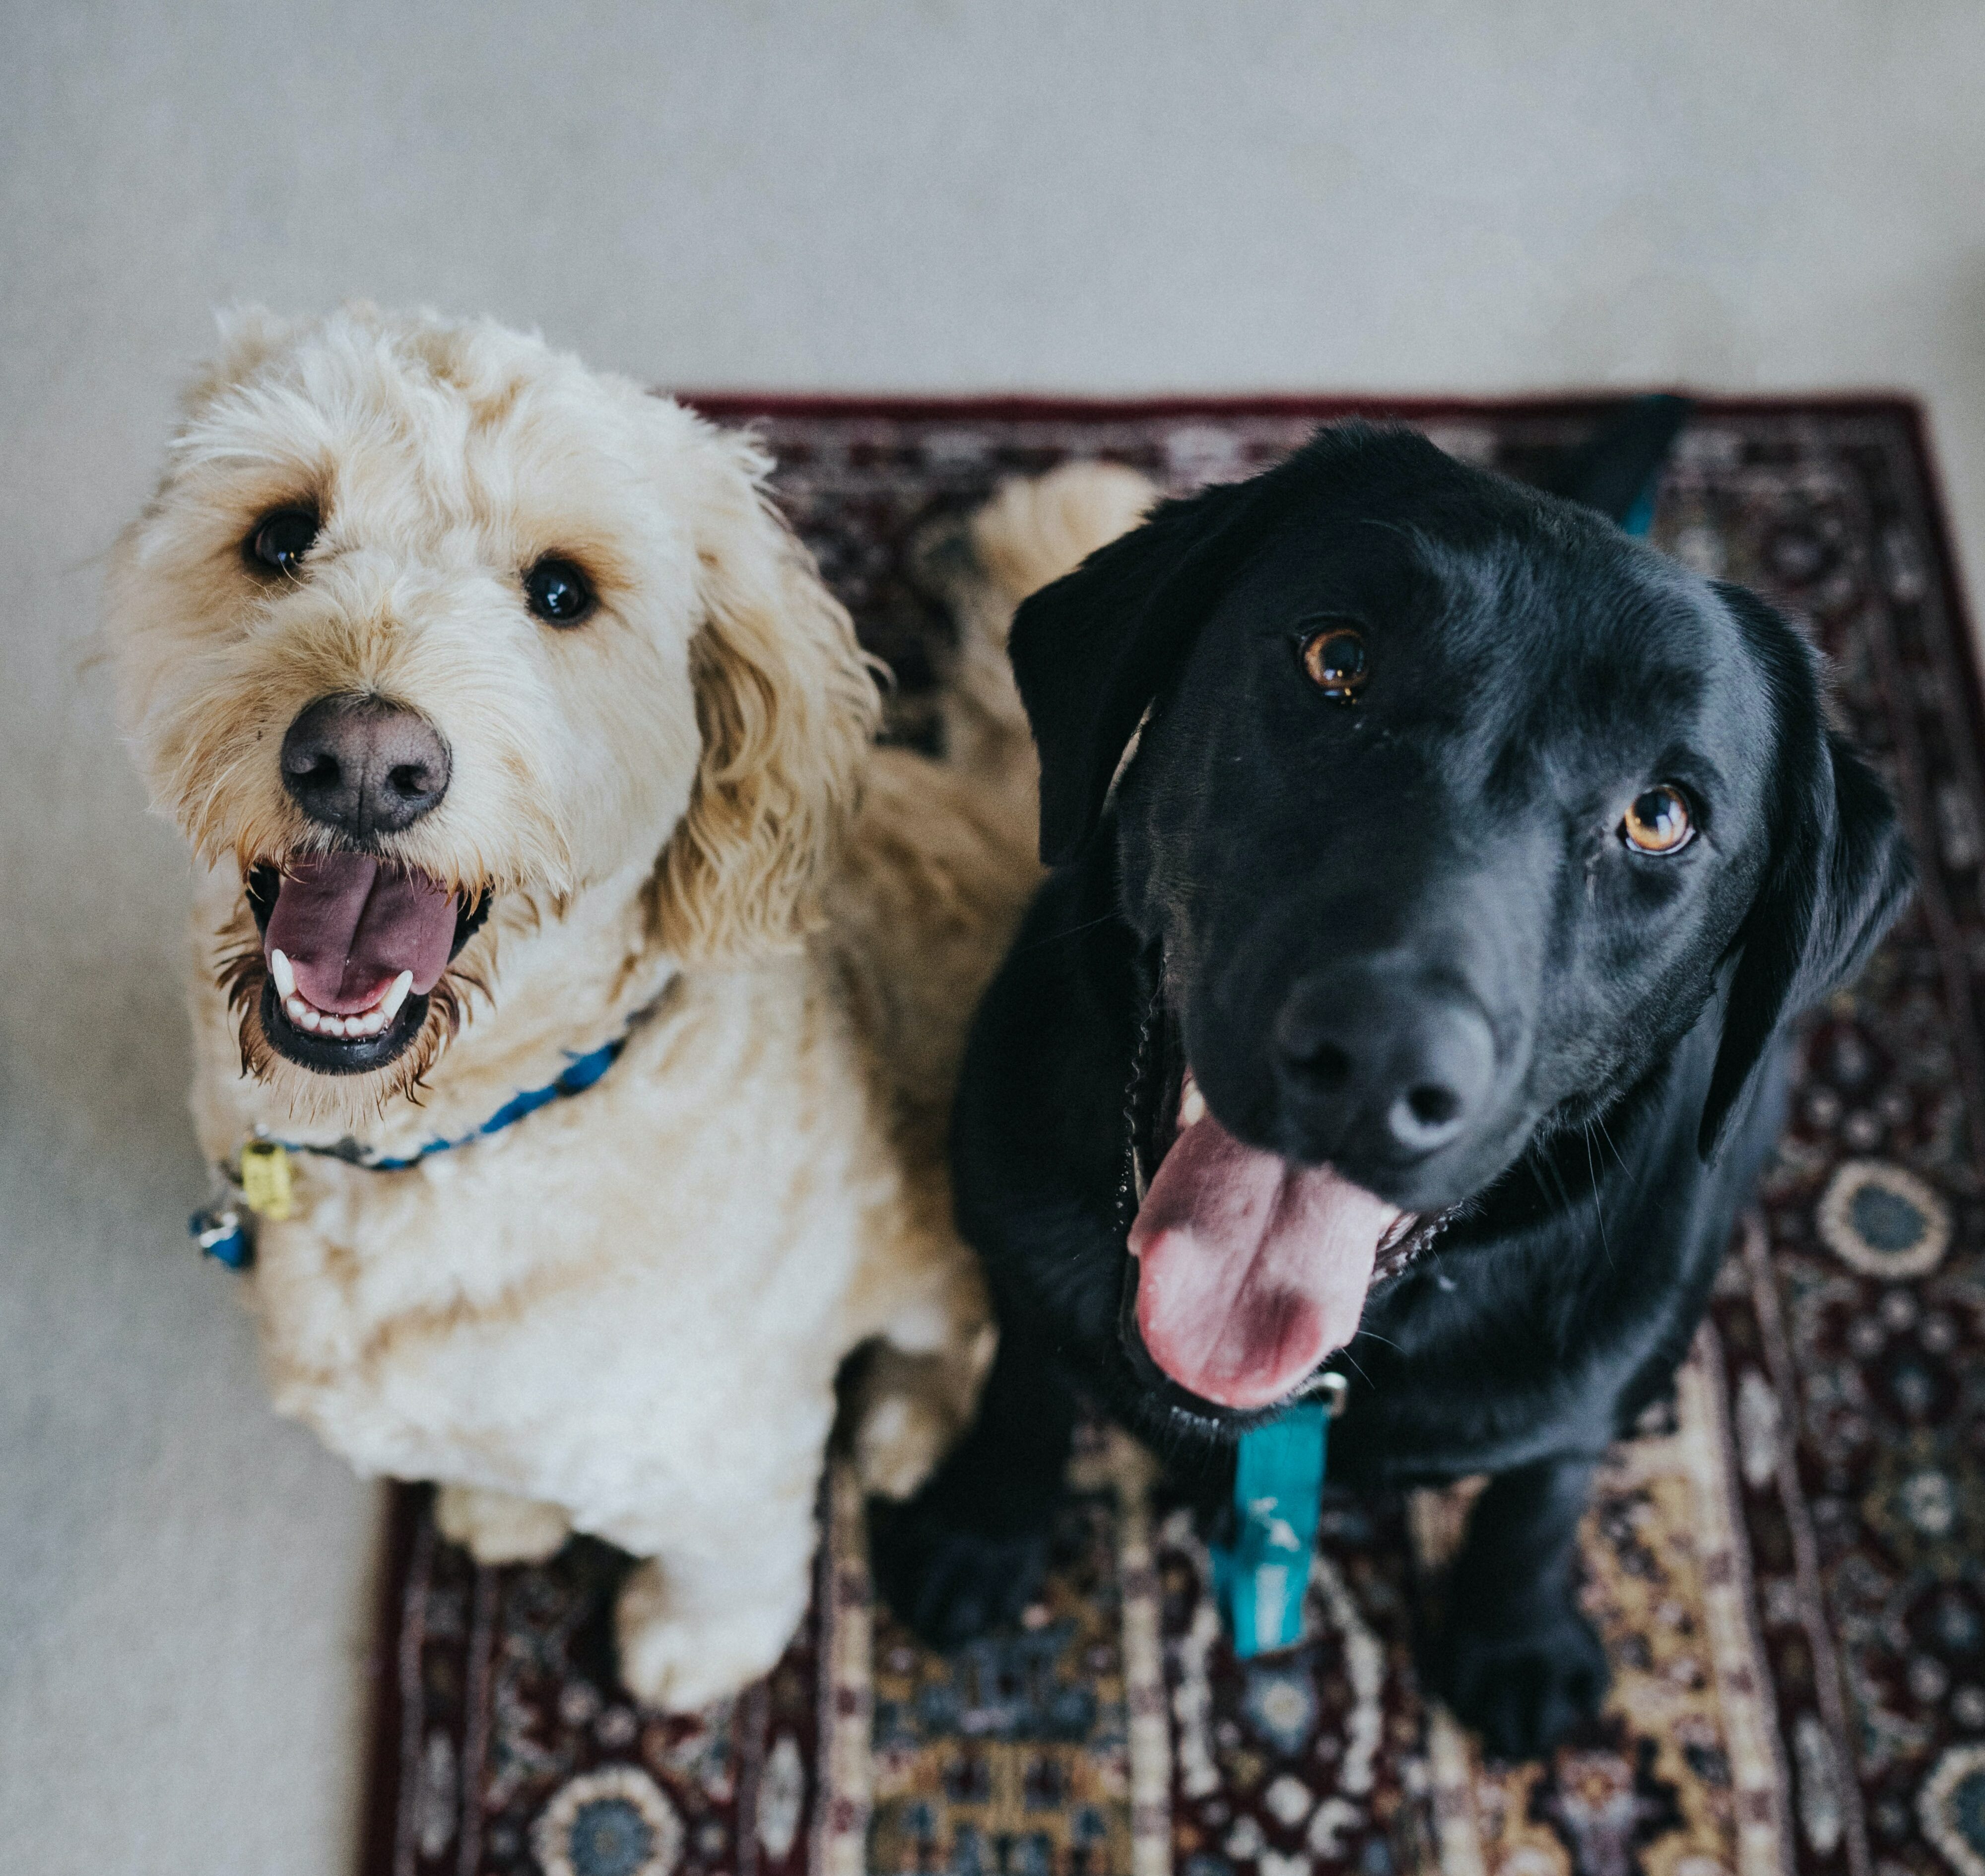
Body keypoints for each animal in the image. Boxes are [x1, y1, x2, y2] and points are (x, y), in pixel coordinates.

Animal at [109, 308, 1159, 1715]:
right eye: (280, 534)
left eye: (562, 592)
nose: (366, 762)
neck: (465, 1135)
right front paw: (505, 1509)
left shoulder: (725, 1441)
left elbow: (731, 1559)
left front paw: (693, 1649)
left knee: (959, 1334)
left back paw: (904, 1425)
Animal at [877, 421, 1914, 1755]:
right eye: (1337, 660)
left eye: (1660, 816)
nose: (1376, 1061)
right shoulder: (1016, 1230)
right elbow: (1024, 1379)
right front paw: (981, 1523)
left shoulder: (1583, 1374)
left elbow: (1542, 1488)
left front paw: (1514, 1634)